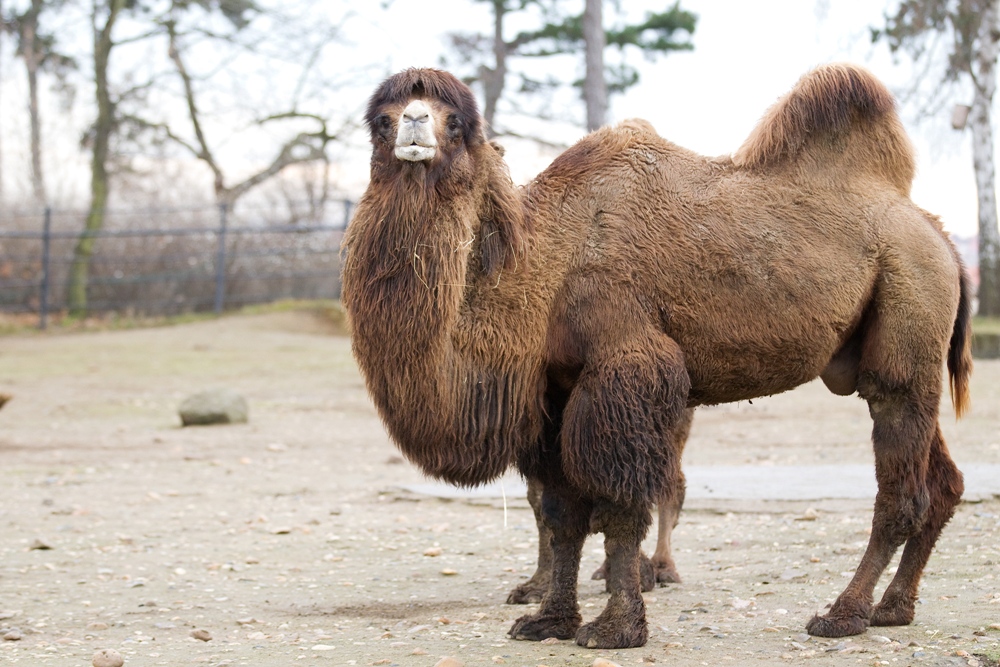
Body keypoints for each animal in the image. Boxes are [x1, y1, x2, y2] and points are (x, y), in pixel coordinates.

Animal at [342, 65, 968, 648]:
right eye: (381, 119)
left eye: (456, 122)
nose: (414, 124)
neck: (546, 265)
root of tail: (941, 237)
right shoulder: (555, 393)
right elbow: (560, 512)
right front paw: (549, 619)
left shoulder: (624, 365)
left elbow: (620, 505)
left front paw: (616, 626)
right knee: (942, 482)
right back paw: (894, 608)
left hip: (909, 301)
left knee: (901, 488)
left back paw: (844, 614)